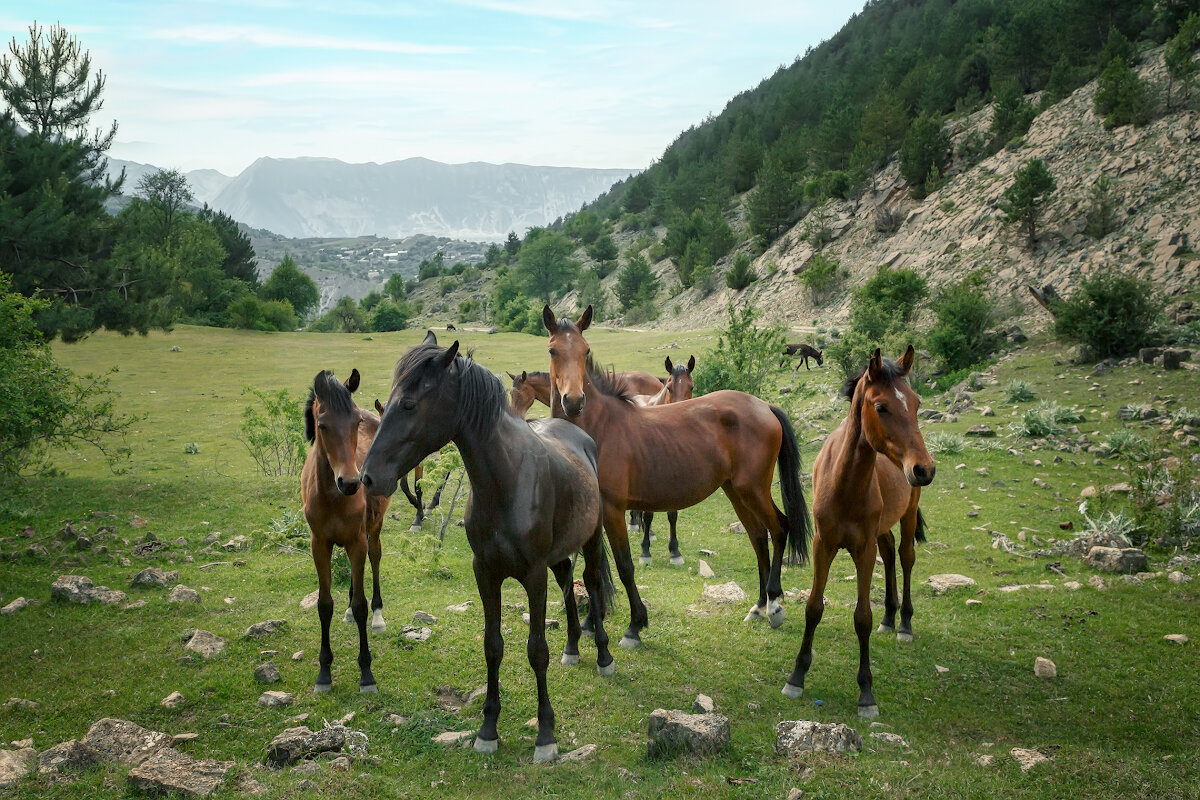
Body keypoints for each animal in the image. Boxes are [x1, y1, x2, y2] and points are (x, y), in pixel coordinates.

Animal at [300, 369, 388, 695]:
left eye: (355, 422)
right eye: (322, 425)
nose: (350, 482)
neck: (332, 495)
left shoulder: (357, 541)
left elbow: (362, 605)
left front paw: (366, 673)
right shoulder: (319, 545)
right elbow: (324, 605)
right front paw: (324, 672)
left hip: (372, 529)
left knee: (375, 558)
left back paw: (378, 616)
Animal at [360, 331, 614, 762]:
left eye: (409, 404)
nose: (367, 477)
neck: (505, 482)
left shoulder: (532, 575)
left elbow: (536, 651)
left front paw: (546, 734)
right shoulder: (485, 572)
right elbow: (492, 646)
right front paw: (488, 728)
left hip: (591, 540)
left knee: (593, 584)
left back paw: (602, 655)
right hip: (558, 555)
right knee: (568, 584)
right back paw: (572, 647)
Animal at [628, 352, 696, 566]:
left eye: (691, 387)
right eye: (669, 387)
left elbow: (672, 514)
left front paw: (675, 551)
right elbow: (649, 514)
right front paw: (645, 551)